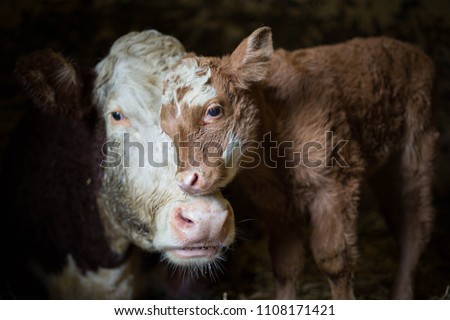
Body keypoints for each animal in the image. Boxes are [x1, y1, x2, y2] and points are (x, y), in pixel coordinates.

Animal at [160, 27, 438, 300]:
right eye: (166, 128)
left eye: (214, 110)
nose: (187, 180)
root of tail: (410, 50)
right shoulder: (274, 201)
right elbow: (286, 265)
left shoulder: (335, 185)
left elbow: (334, 260)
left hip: (416, 149)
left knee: (416, 224)